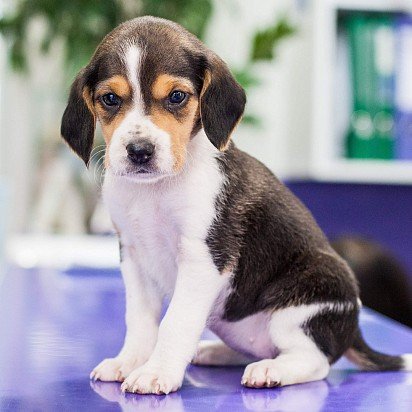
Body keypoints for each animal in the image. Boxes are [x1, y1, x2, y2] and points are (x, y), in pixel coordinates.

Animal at [59, 16, 410, 396]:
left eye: (177, 96)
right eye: (110, 99)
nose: (139, 151)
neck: (155, 190)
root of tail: (353, 329)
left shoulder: (204, 258)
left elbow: (175, 322)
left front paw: (157, 372)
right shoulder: (134, 256)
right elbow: (139, 321)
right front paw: (129, 361)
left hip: (306, 299)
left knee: (315, 361)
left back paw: (272, 370)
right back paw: (214, 351)